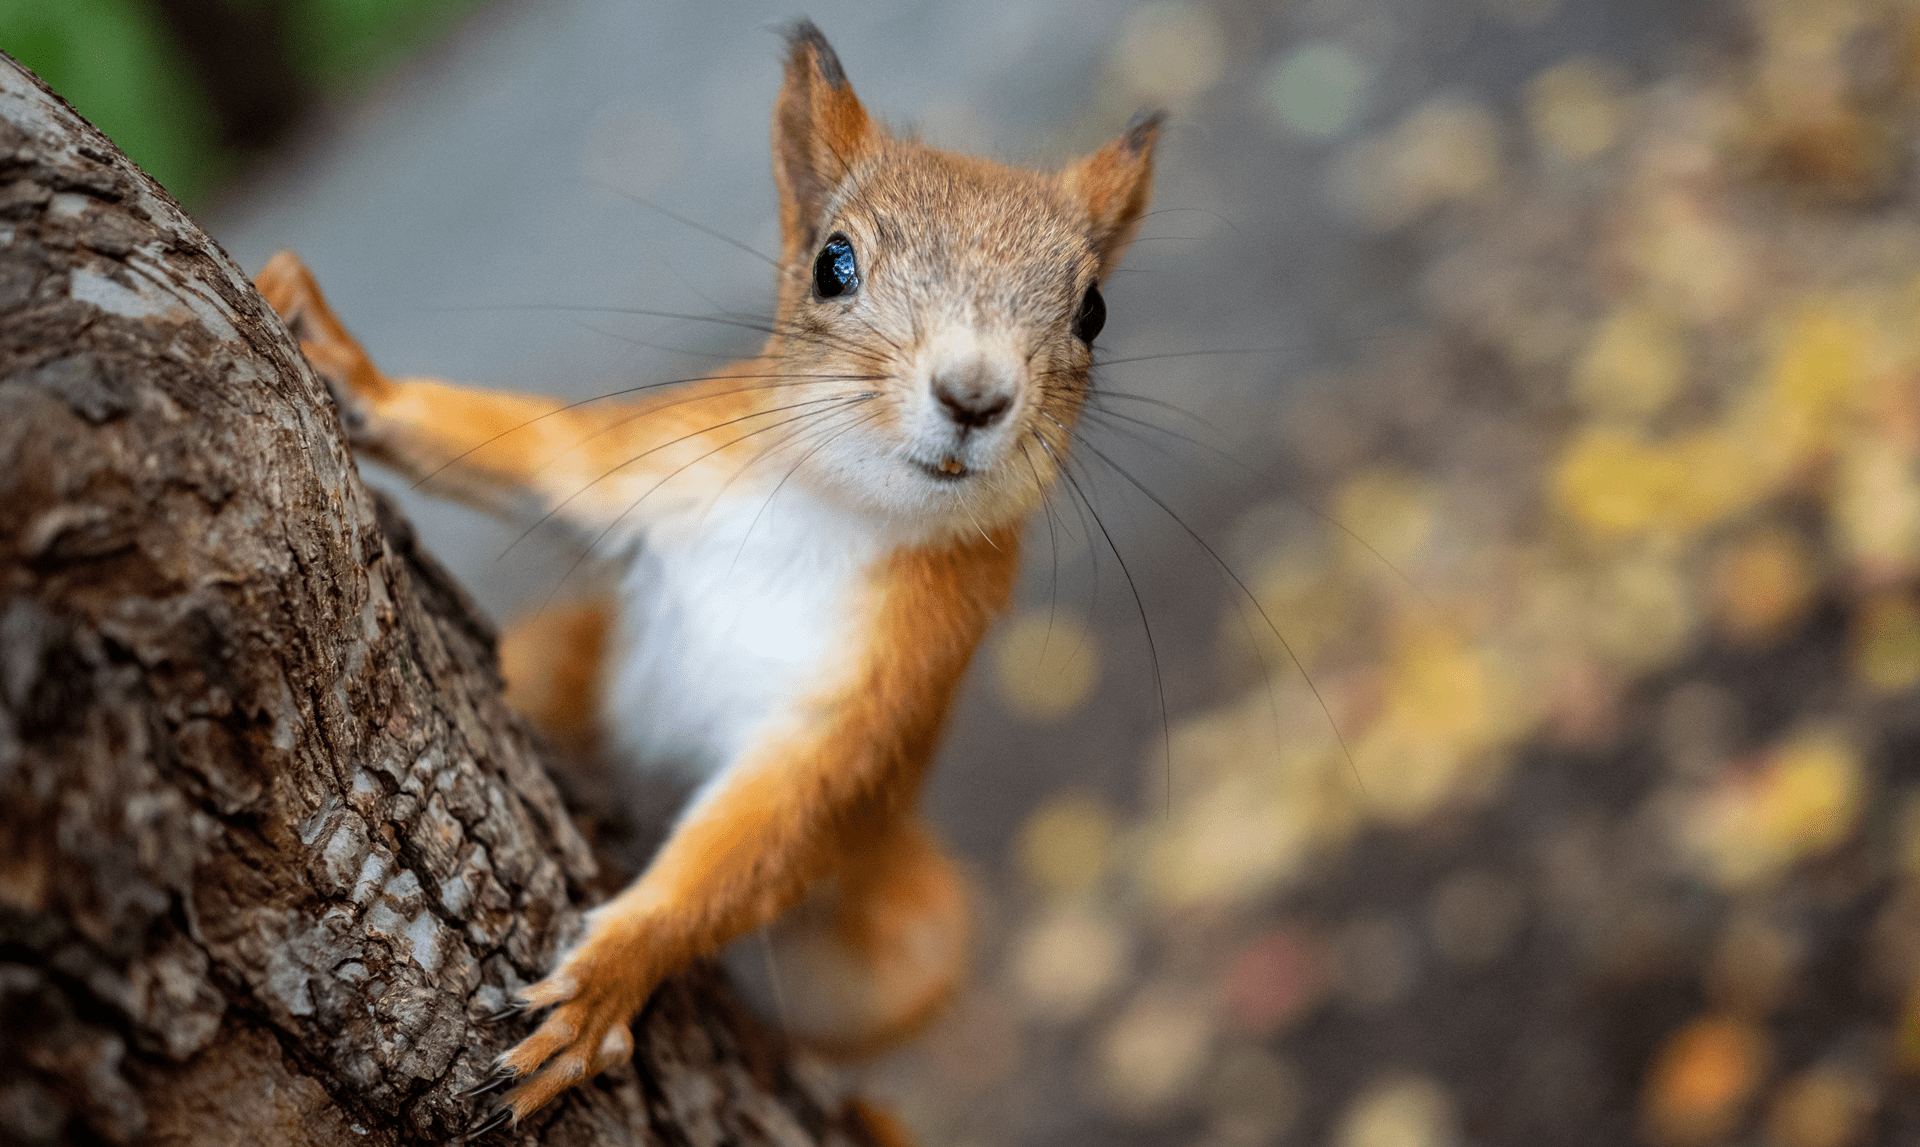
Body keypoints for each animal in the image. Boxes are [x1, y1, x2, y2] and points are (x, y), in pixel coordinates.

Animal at [256, 20, 1160, 1127]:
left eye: (1095, 311)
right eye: (833, 263)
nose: (975, 394)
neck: (833, 511)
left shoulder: (895, 680)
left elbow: (770, 827)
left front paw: (608, 981)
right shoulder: (661, 460)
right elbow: (537, 453)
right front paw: (341, 360)